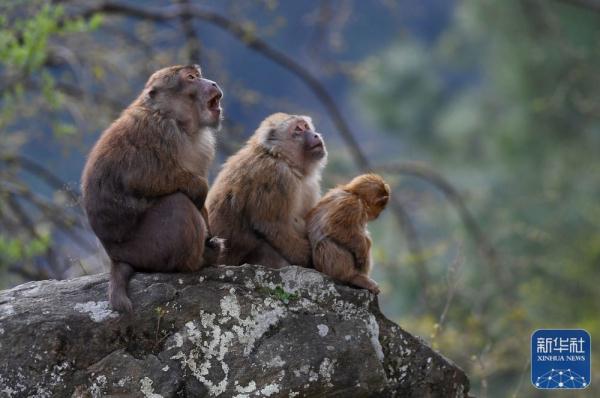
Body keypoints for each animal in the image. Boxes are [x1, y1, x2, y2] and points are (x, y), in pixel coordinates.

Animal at [81, 64, 224, 314]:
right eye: (191, 78)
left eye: (197, 75)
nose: (212, 83)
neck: (175, 120)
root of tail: (116, 257)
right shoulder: (157, 131)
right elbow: (142, 179)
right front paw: (198, 188)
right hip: (148, 249)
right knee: (178, 205)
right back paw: (200, 260)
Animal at [206, 112, 328, 268]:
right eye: (298, 129)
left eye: (306, 126)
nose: (315, 135)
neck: (278, 156)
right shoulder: (275, 175)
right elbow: (270, 225)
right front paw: (306, 257)